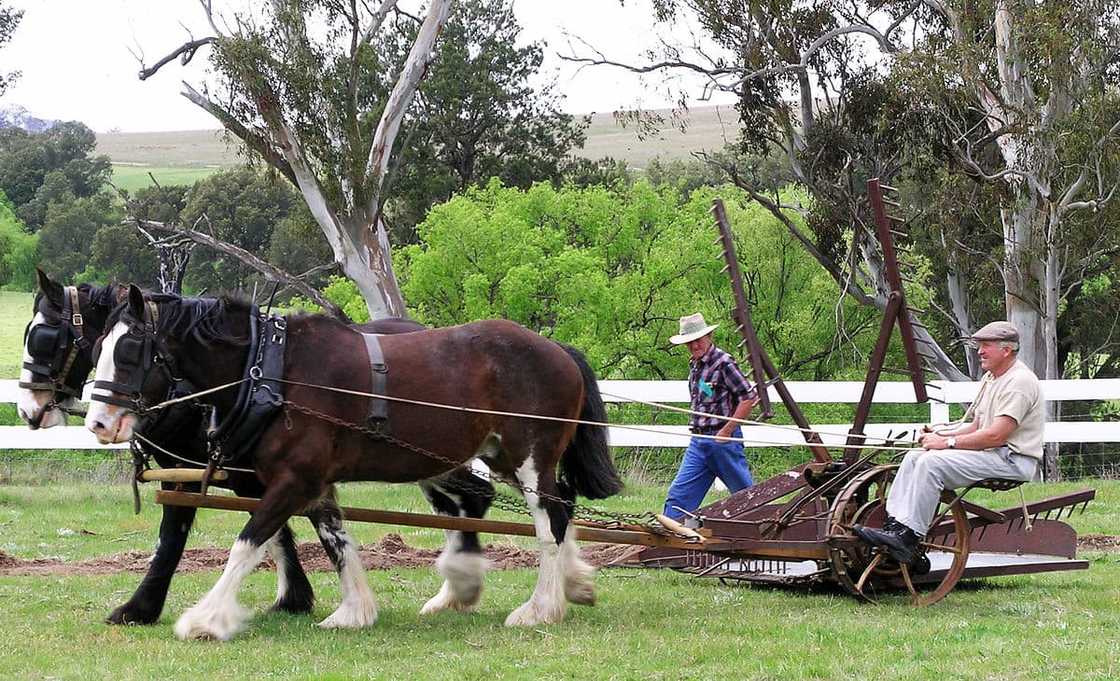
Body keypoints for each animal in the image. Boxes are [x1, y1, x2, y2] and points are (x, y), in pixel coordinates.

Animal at [21, 268, 430, 627]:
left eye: (44, 337)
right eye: (98, 348)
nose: (28, 409)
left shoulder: (210, 476)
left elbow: (175, 538)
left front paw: (140, 607)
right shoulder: (243, 474)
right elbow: (278, 530)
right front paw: (294, 597)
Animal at [86, 284, 622, 640]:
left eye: (131, 350)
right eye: (98, 347)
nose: (98, 423)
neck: (273, 372)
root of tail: (557, 350)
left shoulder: (294, 481)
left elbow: (247, 543)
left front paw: (206, 618)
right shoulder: (314, 483)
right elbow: (336, 541)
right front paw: (353, 611)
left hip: (529, 458)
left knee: (549, 521)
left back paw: (540, 608)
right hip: (499, 456)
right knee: (562, 505)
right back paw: (571, 584)